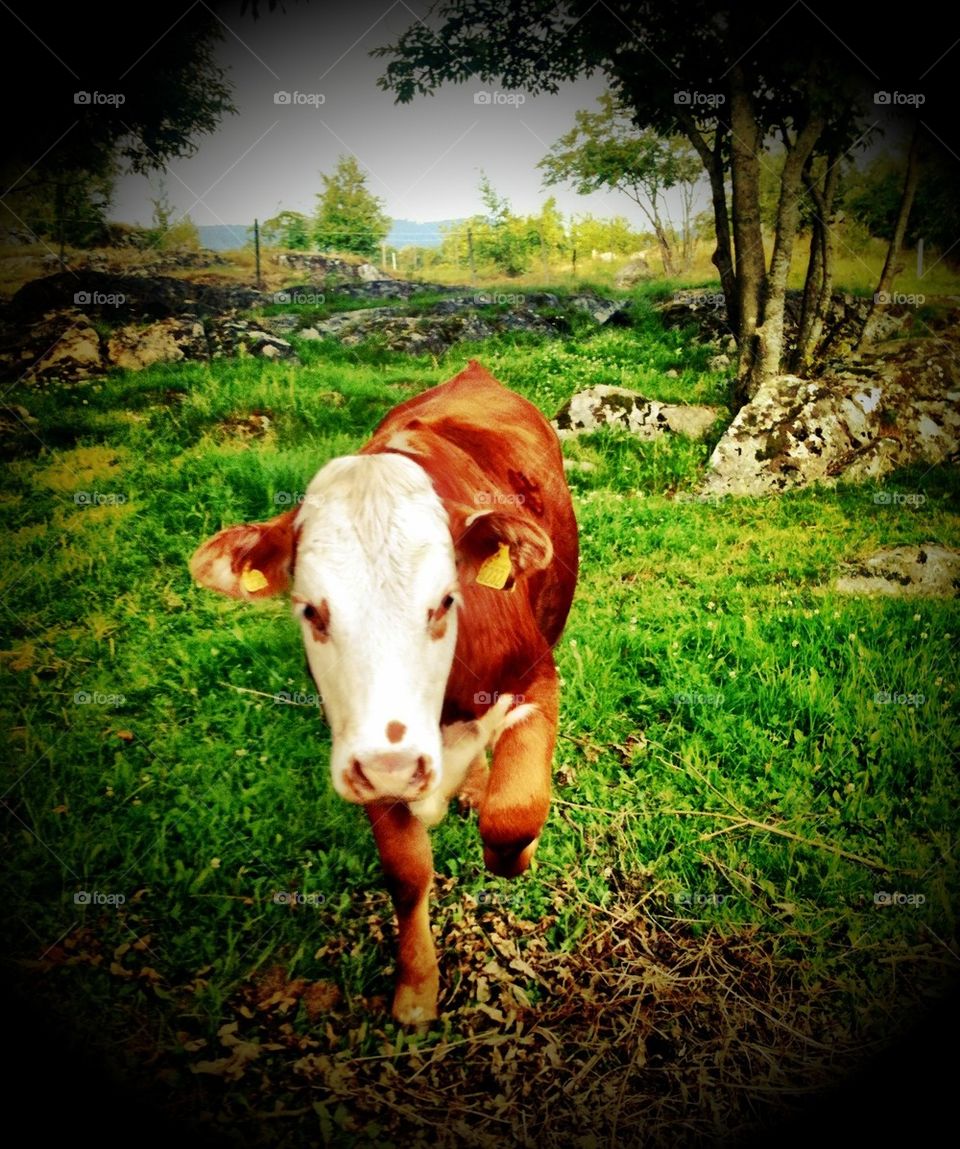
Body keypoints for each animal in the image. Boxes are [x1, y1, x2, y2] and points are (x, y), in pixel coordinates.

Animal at [189, 360, 579, 1024]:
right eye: (310, 610)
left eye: (446, 599)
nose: (395, 763)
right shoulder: (359, 745)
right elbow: (406, 871)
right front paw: (416, 988)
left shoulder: (534, 677)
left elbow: (514, 811)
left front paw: (517, 857)